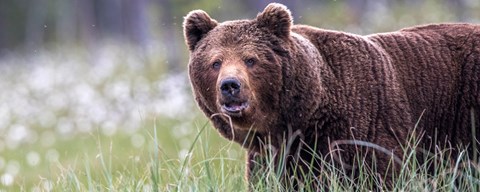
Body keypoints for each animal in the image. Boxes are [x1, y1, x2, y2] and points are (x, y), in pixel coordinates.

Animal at [182, 2, 478, 188]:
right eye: (215, 62)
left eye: (251, 59)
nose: (230, 85)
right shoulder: (271, 157)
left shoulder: (365, 131)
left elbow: (381, 175)